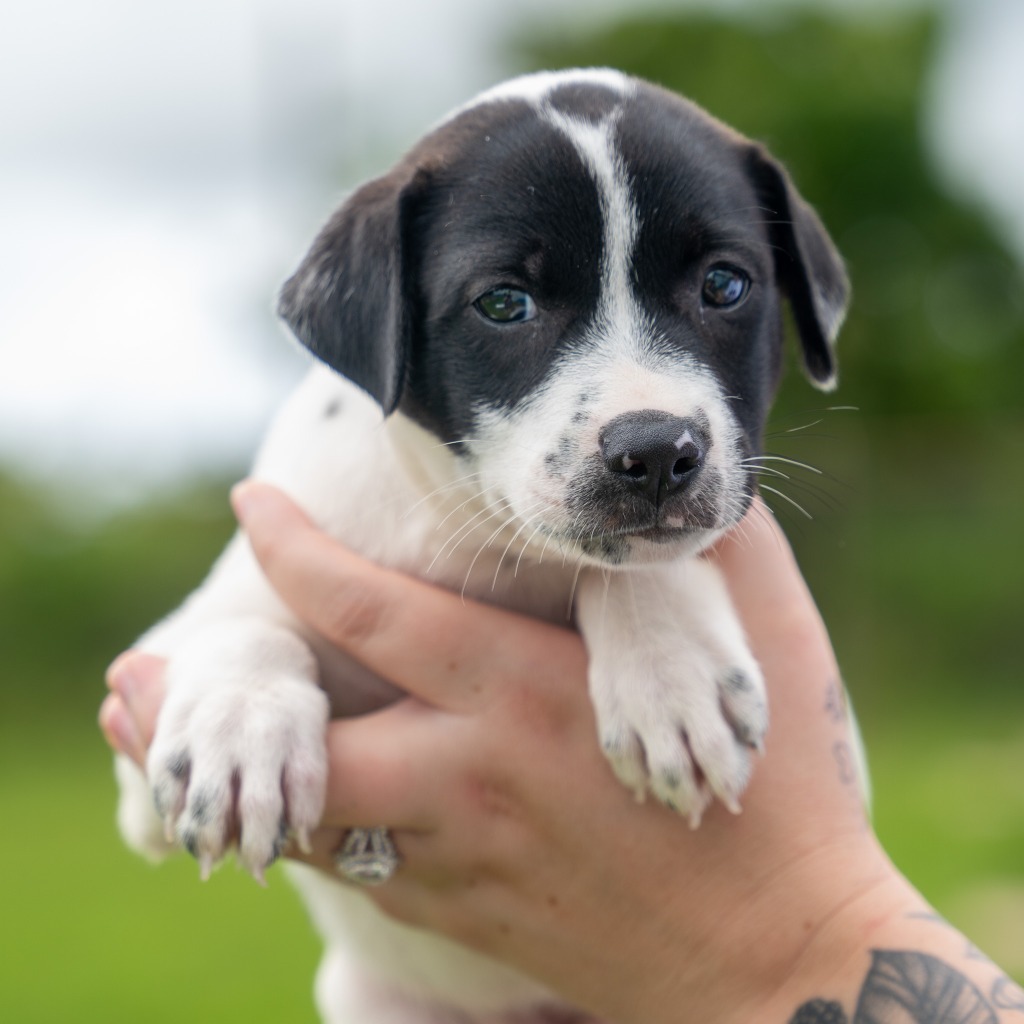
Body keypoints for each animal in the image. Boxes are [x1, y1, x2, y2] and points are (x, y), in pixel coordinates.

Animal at [114, 68, 847, 1019]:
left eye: (725, 285)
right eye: (504, 303)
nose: (655, 453)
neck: (474, 543)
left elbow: (644, 564)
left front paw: (671, 672)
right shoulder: (143, 714)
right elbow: (242, 621)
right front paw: (237, 730)